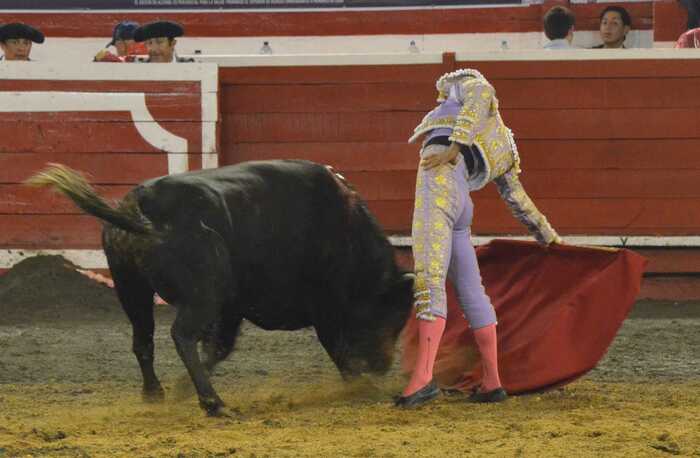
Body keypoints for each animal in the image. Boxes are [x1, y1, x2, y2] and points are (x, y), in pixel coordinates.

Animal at [26, 161, 414, 416]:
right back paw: (213, 403)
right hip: (203, 293)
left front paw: (180, 389)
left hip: (131, 288)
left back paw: (155, 393)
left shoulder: (233, 306)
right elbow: (336, 346)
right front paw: (361, 385)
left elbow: (219, 347)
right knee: (181, 335)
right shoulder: (325, 304)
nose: (382, 365)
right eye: (390, 316)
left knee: (143, 339)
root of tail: (141, 204)